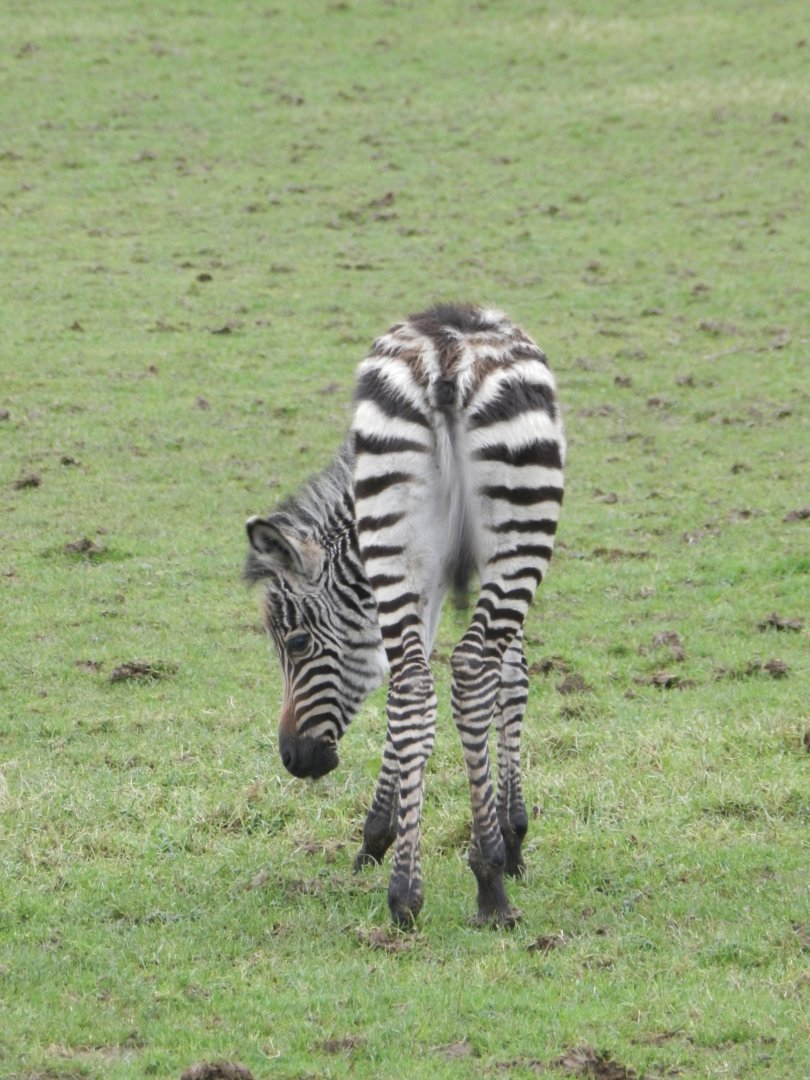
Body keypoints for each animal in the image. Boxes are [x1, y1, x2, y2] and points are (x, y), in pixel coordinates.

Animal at [245, 303, 565, 926]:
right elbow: (511, 678)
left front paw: (378, 834)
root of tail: (447, 356)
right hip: (520, 531)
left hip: (396, 519)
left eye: (297, 645)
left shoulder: (425, 579)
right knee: (469, 670)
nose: (293, 759)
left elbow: (422, 685)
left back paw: (405, 894)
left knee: (415, 684)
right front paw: (511, 837)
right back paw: (489, 882)